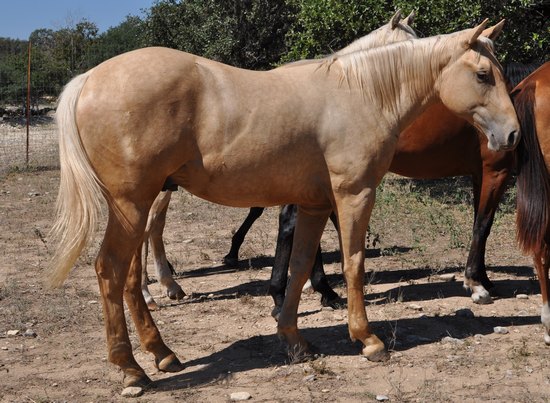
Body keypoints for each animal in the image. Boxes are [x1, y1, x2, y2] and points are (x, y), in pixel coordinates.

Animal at [49, 21, 520, 392]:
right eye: (483, 75)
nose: (513, 135)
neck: (361, 93)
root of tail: (90, 78)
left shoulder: (312, 205)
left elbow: (299, 267)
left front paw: (294, 340)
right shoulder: (354, 195)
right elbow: (353, 263)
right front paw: (367, 339)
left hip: (137, 205)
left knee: (129, 277)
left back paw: (161, 353)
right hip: (133, 204)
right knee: (110, 270)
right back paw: (131, 369)